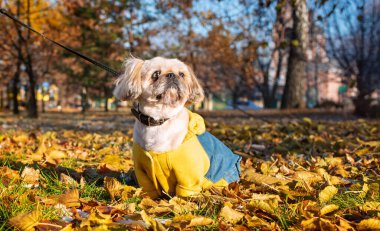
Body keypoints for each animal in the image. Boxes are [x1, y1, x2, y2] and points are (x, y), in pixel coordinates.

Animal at [113, 56, 240, 199]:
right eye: (155, 74)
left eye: (182, 74)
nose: (172, 75)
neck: (159, 120)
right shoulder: (142, 170)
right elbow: (148, 190)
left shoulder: (188, 173)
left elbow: (184, 193)